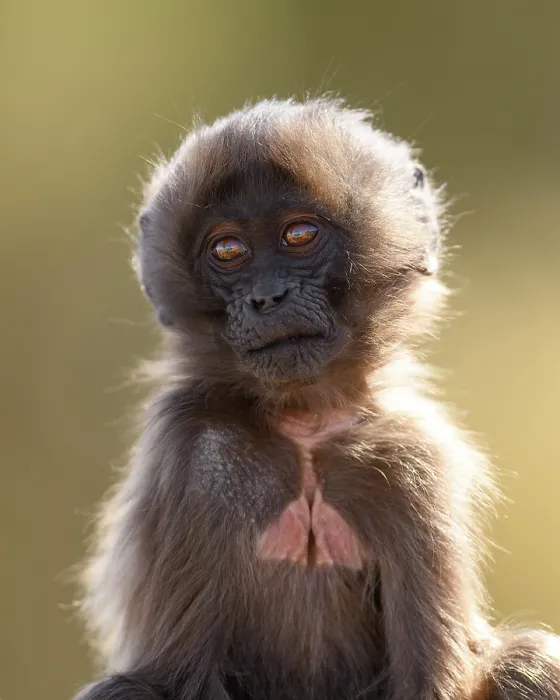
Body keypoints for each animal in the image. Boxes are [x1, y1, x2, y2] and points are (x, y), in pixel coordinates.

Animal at [74, 97, 560, 700]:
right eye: (228, 250)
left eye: (299, 235)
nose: (267, 297)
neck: (305, 424)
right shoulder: (197, 456)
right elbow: (178, 676)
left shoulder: (412, 462)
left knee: (528, 663)